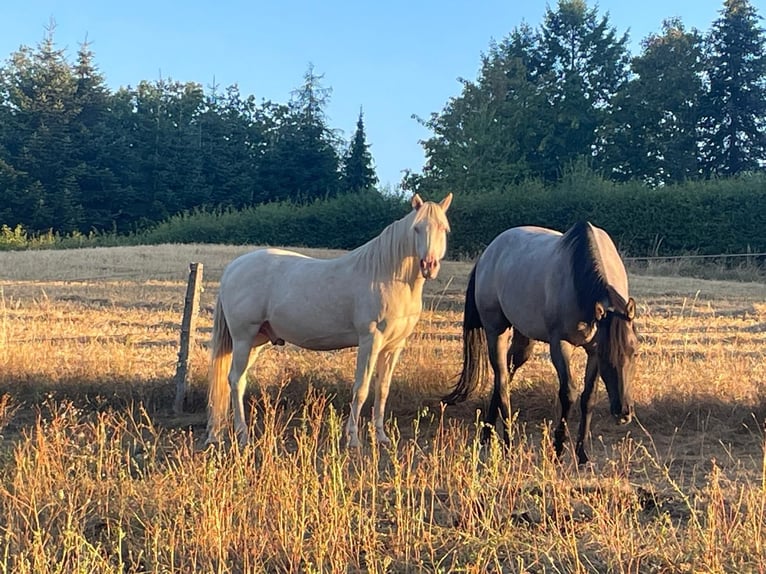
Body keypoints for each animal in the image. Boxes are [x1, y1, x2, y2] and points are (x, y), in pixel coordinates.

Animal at [206, 193, 453, 448]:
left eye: (444, 228)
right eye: (417, 228)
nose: (429, 265)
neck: (388, 276)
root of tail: (232, 268)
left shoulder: (393, 347)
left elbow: (382, 389)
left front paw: (381, 436)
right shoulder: (370, 341)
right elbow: (361, 389)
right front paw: (353, 439)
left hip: (257, 340)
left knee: (239, 380)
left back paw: (221, 432)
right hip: (243, 338)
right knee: (235, 381)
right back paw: (242, 434)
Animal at [442, 222, 638, 464]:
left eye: (634, 352)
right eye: (606, 355)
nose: (623, 412)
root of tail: (488, 253)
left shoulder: (592, 350)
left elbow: (588, 397)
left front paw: (582, 454)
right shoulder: (560, 344)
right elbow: (568, 393)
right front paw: (558, 450)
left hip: (523, 340)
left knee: (505, 374)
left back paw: (487, 435)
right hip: (496, 331)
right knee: (502, 379)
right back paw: (508, 444)